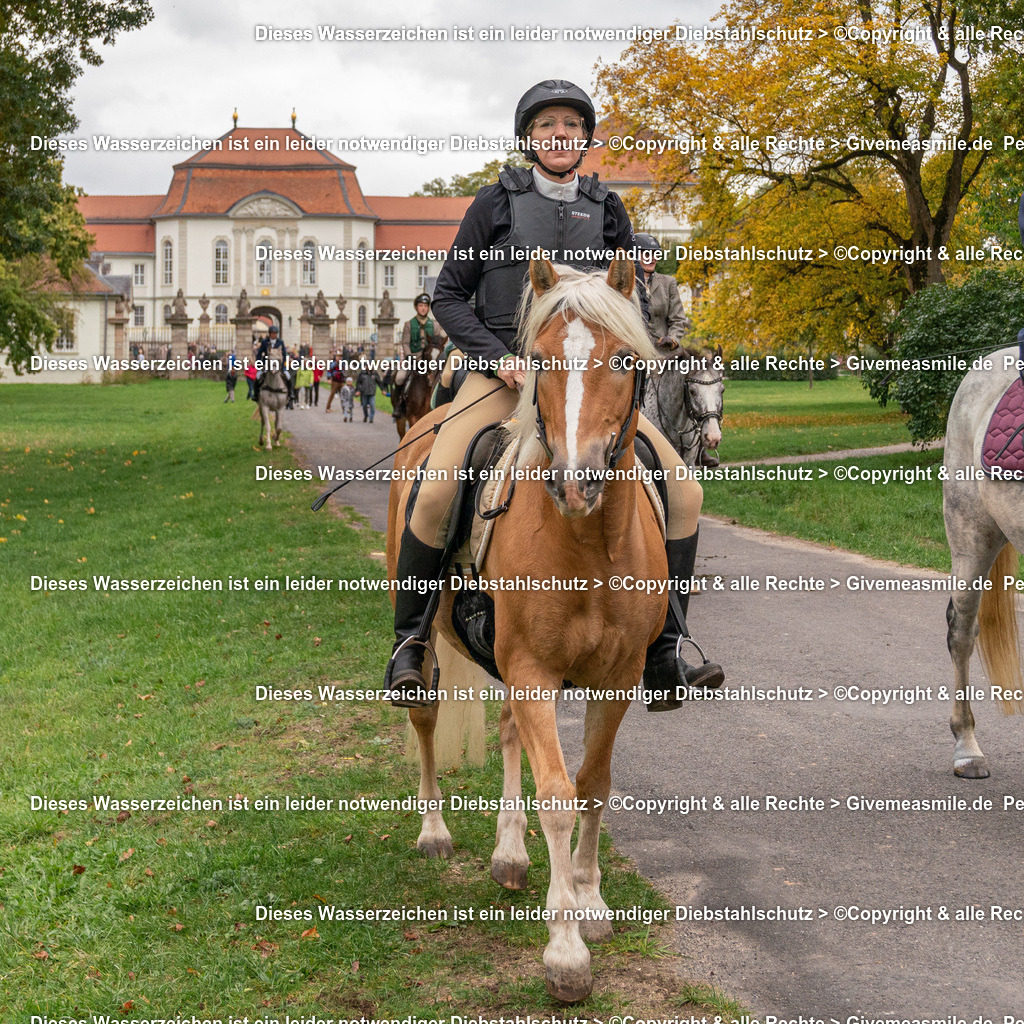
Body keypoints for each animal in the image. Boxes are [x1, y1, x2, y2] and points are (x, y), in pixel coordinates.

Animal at [387, 253, 667, 999]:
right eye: (537, 359)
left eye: (625, 358)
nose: (575, 481)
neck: (587, 544)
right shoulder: (535, 669)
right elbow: (559, 796)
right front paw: (565, 950)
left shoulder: (615, 677)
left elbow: (594, 785)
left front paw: (590, 901)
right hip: (437, 644)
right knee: (426, 716)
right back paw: (434, 831)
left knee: (511, 728)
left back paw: (510, 853)